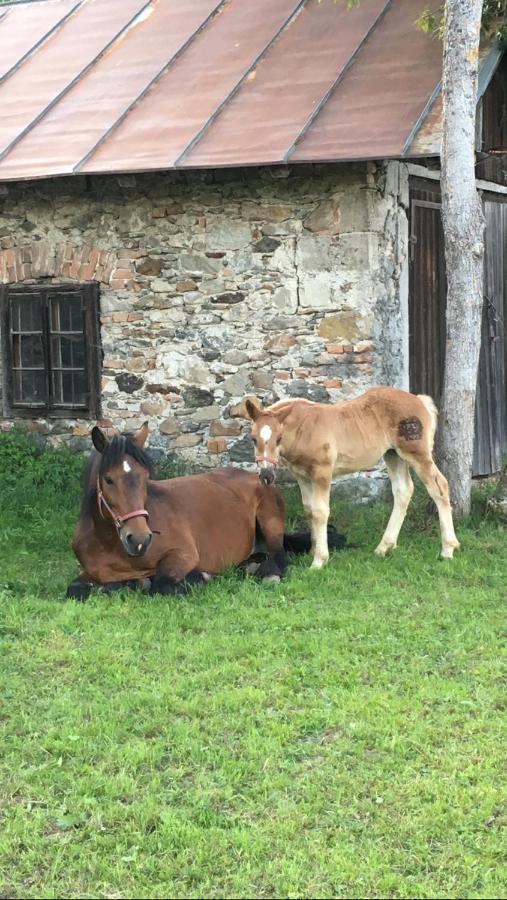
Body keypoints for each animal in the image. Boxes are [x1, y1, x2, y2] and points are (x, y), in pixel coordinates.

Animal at [65, 420, 344, 596]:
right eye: (109, 480)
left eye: (145, 477)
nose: (140, 539)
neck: (110, 544)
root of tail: (260, 477)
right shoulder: (88, 573)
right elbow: (75, 590)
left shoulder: (183, 555)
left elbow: (161, 585)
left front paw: (198, 578)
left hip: (270, 521)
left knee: (279, 557)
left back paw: (266, 573)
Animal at [244, 386, 462, 568]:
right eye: (253, 439)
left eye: (279, 438)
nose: (266, 474)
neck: (305, 428)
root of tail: (419, 400)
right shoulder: (302, 476)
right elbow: (309, 510)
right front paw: (313, 550)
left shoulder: (322, 472)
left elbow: (320, 512)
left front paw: (319, 560)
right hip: (393, 455)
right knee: (403, 491)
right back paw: (384, 547)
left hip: (417, 454)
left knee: (439, 487)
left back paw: (448, 549)